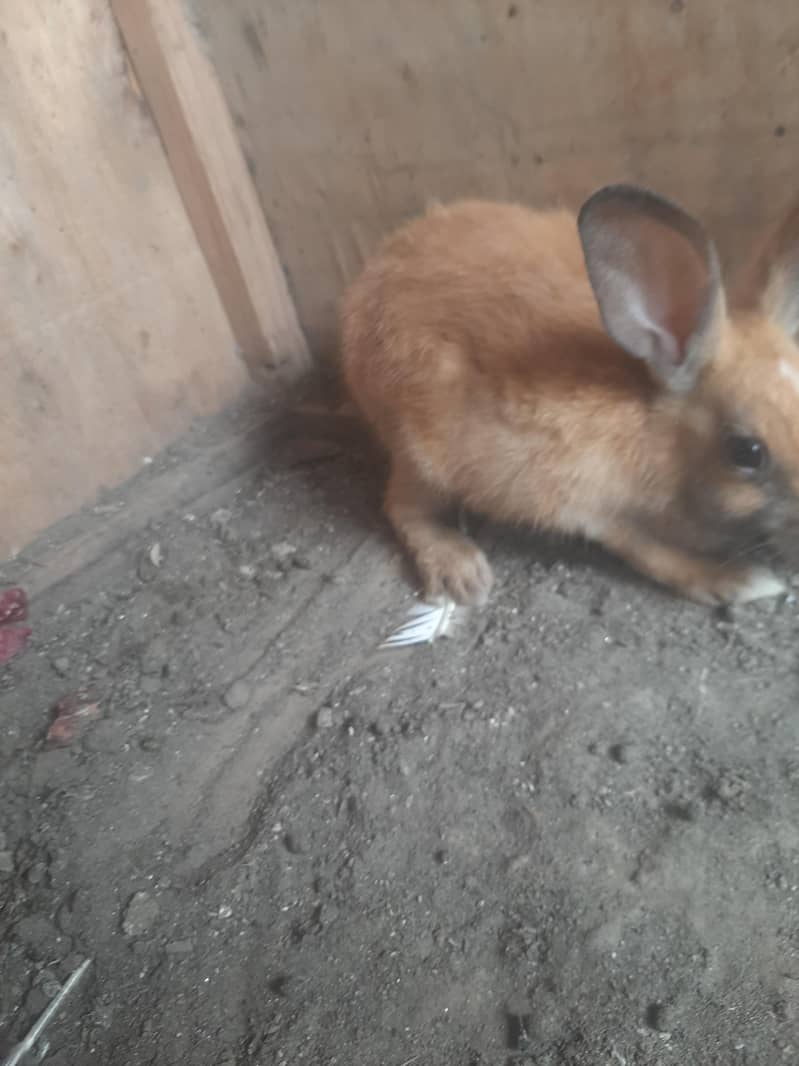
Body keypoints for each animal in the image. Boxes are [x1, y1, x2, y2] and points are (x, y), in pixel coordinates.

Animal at [339, 184, 799, 607]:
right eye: (747, 452)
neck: (662, 441)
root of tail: (370, 277)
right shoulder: (579, 498)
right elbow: (644, 548)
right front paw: (741, 581)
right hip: (420, 454)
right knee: (402, 506)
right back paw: (462, 573)